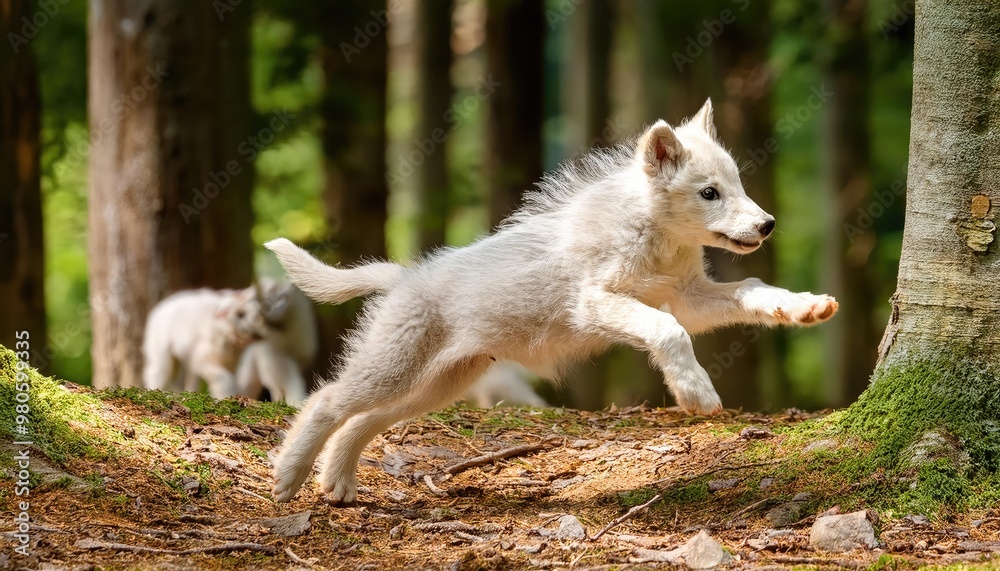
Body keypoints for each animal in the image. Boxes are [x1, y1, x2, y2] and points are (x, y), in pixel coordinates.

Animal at [266, 99, 838, 504]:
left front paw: (805, 306)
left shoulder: (688, 298)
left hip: (437, 384)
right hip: (395, 366)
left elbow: (751, 288)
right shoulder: (599, 303)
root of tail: (404, 278)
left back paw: (337, 484)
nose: (767, 225)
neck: (653, 237)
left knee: (363, 421)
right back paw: (288, 479)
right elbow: (666, 332)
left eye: (738, 184)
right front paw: (695, 393)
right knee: (326, 400)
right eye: (709, 193)